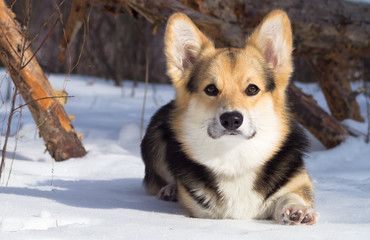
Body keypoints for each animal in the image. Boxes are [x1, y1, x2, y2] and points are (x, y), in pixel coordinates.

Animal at [141, 9, 318, 225]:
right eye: (210, 89)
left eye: (252, 89)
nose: (231, 119)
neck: (235, 156)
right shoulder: (202, 212)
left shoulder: (298, 181)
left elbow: (291, 195)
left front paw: (297, 209)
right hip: (155, 137)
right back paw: (170, 188)